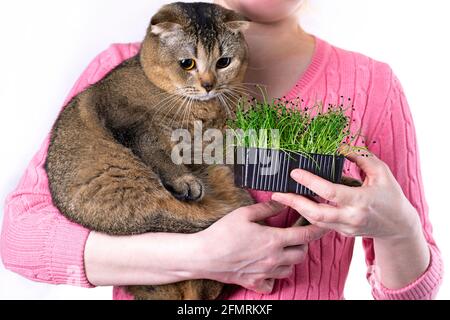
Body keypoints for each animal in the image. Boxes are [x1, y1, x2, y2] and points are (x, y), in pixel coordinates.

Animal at [46, 1, 256, 300]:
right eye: (187, 63)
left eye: (223, 62)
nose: (208, 85)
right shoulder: (132, 126)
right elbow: (159, 154)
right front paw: (184, 180)